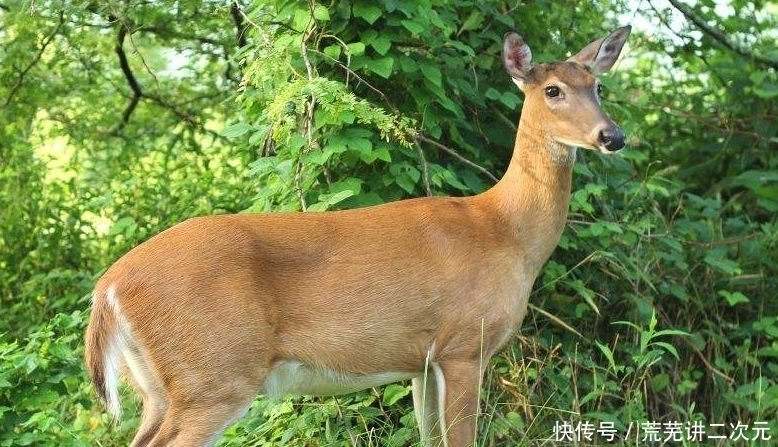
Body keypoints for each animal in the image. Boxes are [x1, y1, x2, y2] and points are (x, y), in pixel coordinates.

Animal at [85, 24, 631, 447]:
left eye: (597, 86)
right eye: (553, 90)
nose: (613, 136)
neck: (505, 232)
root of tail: (108, 288)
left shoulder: (422, 362)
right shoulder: (463, 345)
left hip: (159, 386)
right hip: (216, 373)